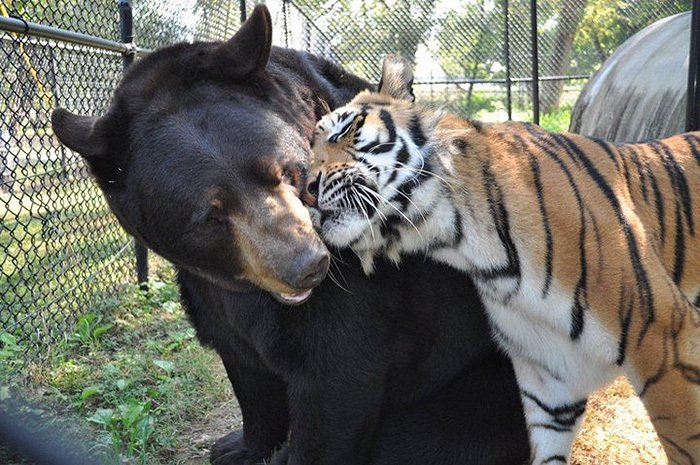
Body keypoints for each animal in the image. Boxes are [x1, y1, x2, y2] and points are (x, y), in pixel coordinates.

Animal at [308, 55, 700, 464]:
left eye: (348, 130)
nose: (306, 189)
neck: (462, 241)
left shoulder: (665, 338)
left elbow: (686, 445)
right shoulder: (549, 381)